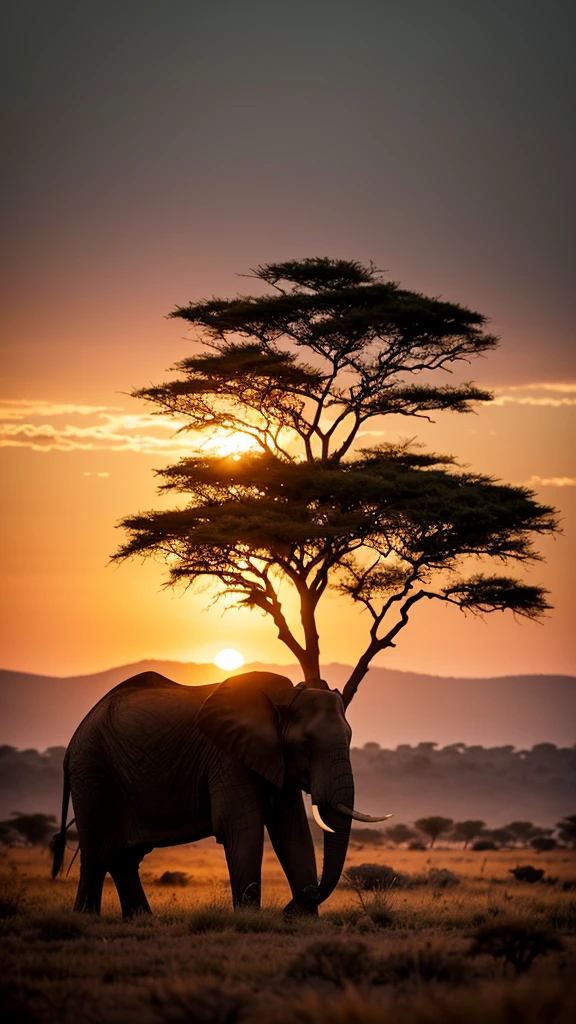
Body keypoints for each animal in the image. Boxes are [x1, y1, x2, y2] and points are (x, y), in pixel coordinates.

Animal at [52, 667, 385, 917]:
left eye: (350, 737)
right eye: (306, 745)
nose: (290, 906)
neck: (283, 698)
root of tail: (71, 743)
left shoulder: (274, 759)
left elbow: (292, 831)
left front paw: (305, 921)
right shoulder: (227, 756)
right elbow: (243, 827)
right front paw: (250, 920)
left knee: (124, 857)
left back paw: (142, 920)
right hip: (91, 772)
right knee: (97, 853)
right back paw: (87, 919)